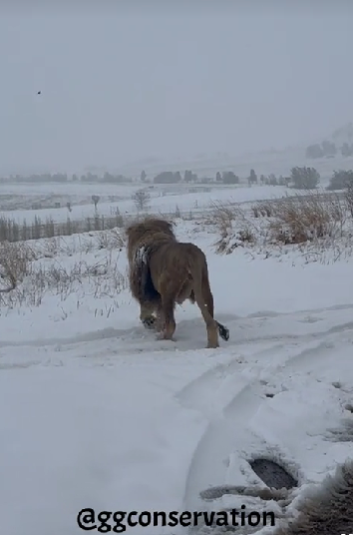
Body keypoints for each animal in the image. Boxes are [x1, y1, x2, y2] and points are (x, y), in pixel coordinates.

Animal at [125, 216, 230, 350]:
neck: (152, 235)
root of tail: (190, 255)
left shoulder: (146, 294)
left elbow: (145, 315)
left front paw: (151, 323)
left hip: (167, 290)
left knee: (171, 324)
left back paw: (163, 340)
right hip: (203, 287)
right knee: (210, 319)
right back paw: (213, 343)